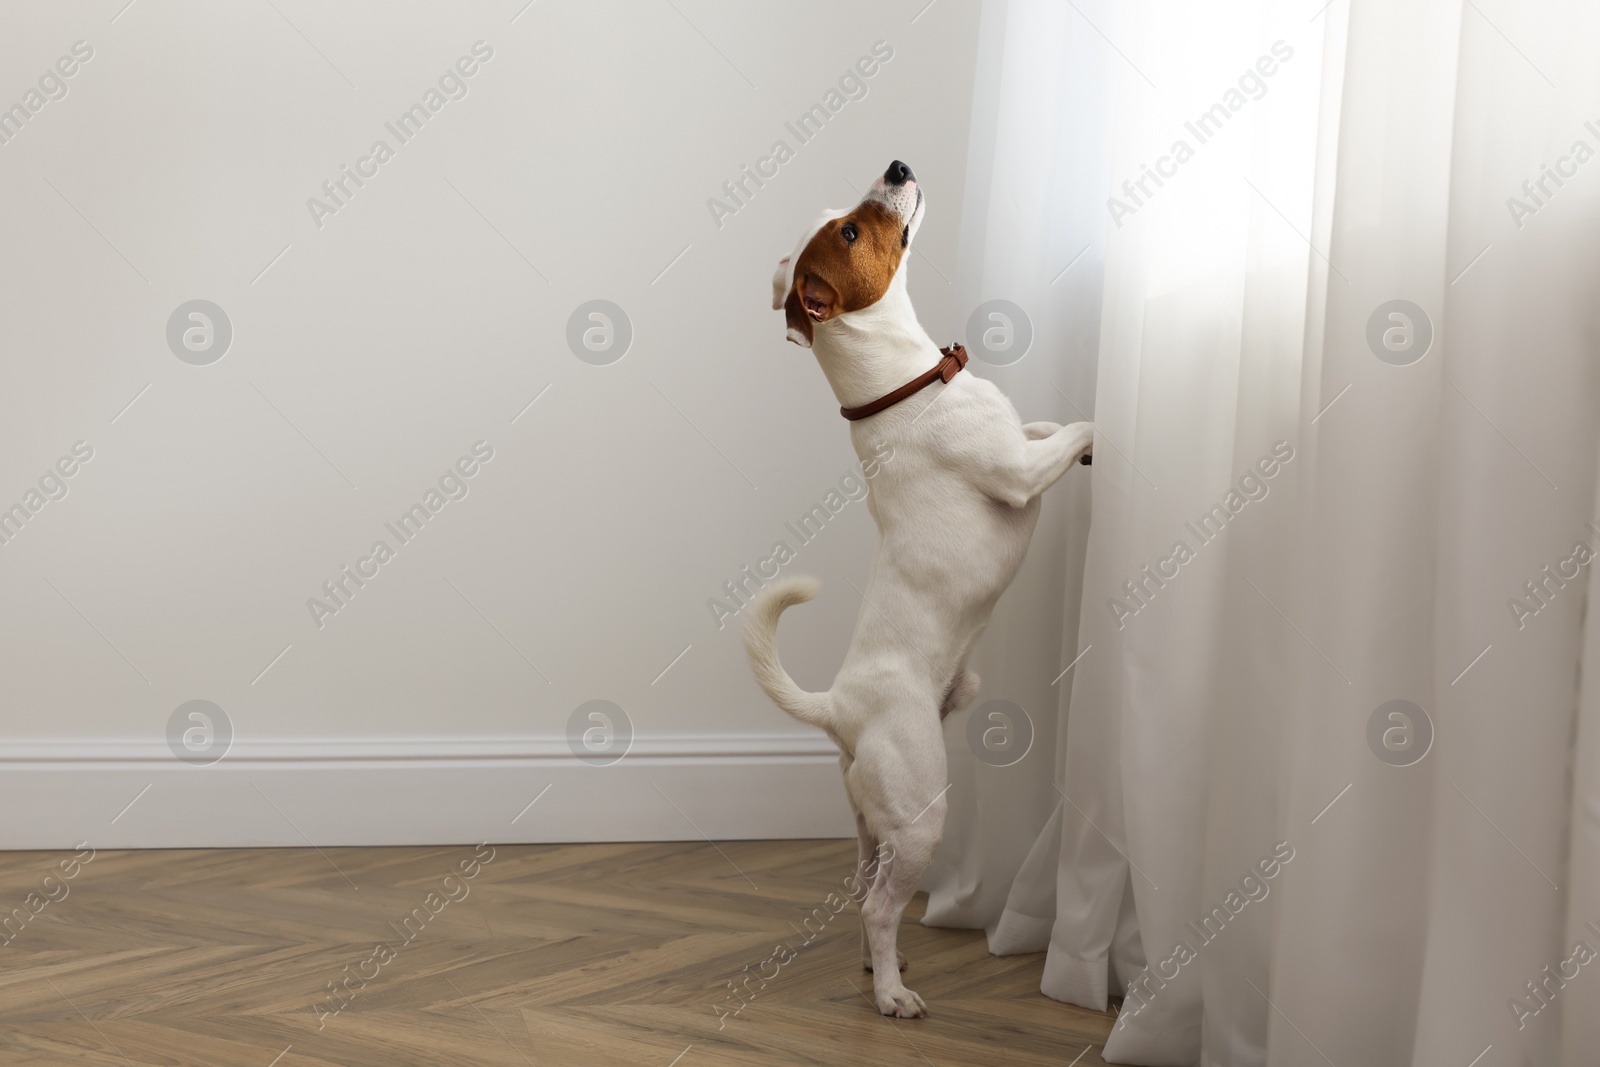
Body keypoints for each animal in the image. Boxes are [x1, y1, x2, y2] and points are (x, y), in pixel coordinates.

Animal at [742, 158, 1094, 1017]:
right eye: (849, 231)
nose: (898, 165)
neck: (907, 382)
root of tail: (838, 707)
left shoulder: (1020, 442)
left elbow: (1042, 425)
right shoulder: (1020, 476)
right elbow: (1070, 432)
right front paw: (1096, 434)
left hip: (875, 816)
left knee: (864, 885)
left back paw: (881, 966)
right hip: (920, 810)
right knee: (877, 904)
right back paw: (893, 993)